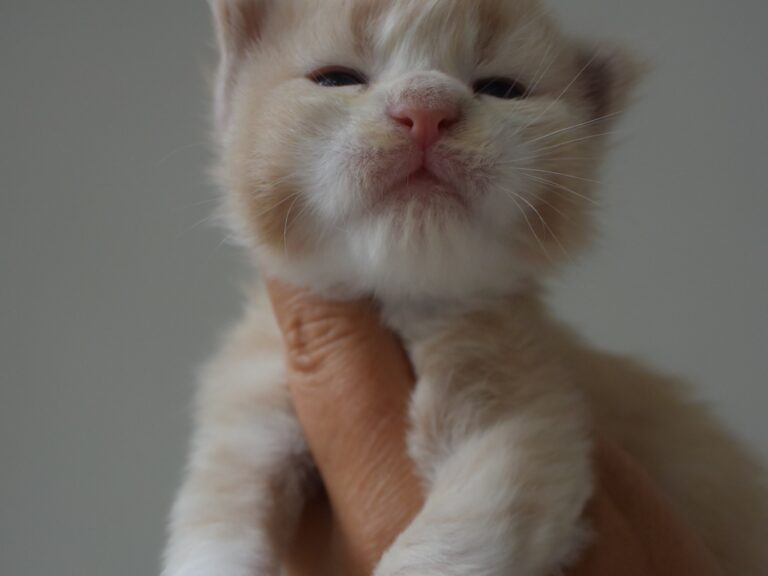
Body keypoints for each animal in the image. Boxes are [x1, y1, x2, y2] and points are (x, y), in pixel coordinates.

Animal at [162, 1, 768, 575]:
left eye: (501, 89)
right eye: (336, 79)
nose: (426, 109)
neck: (402, 298)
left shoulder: (525, 423)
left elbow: (443, 545)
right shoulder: (250, 410)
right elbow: (218, 522)